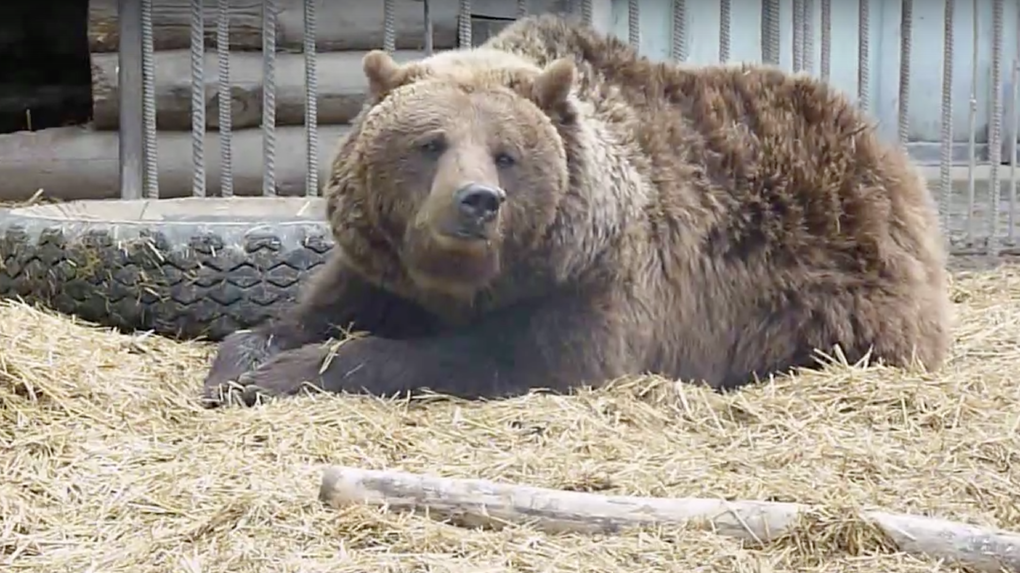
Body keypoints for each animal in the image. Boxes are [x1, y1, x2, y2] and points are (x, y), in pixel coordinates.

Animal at [200, 13, 954, 405]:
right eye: (430, 142)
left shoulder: (601, 285)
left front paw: (292, 373)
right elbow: (305, 314)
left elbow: (501, 356)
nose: (477, 202)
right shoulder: (380, 269)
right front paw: (239, 364)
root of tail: (885, 151)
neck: (460, 283)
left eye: (506, 153)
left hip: (834, 280)